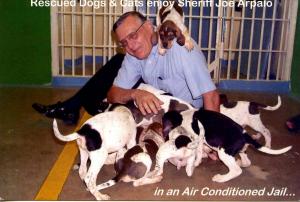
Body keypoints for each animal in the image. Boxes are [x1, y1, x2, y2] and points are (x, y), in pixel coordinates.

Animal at [152, 109, 290, 183]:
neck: (183, 117)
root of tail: (245, 135)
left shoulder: (197, 138)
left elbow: (198, 153)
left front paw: (196, 163)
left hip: (223, 152)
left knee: (236, 170)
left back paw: (221, 178)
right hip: (239, 150)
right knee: (246, 163)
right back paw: (239, 163)